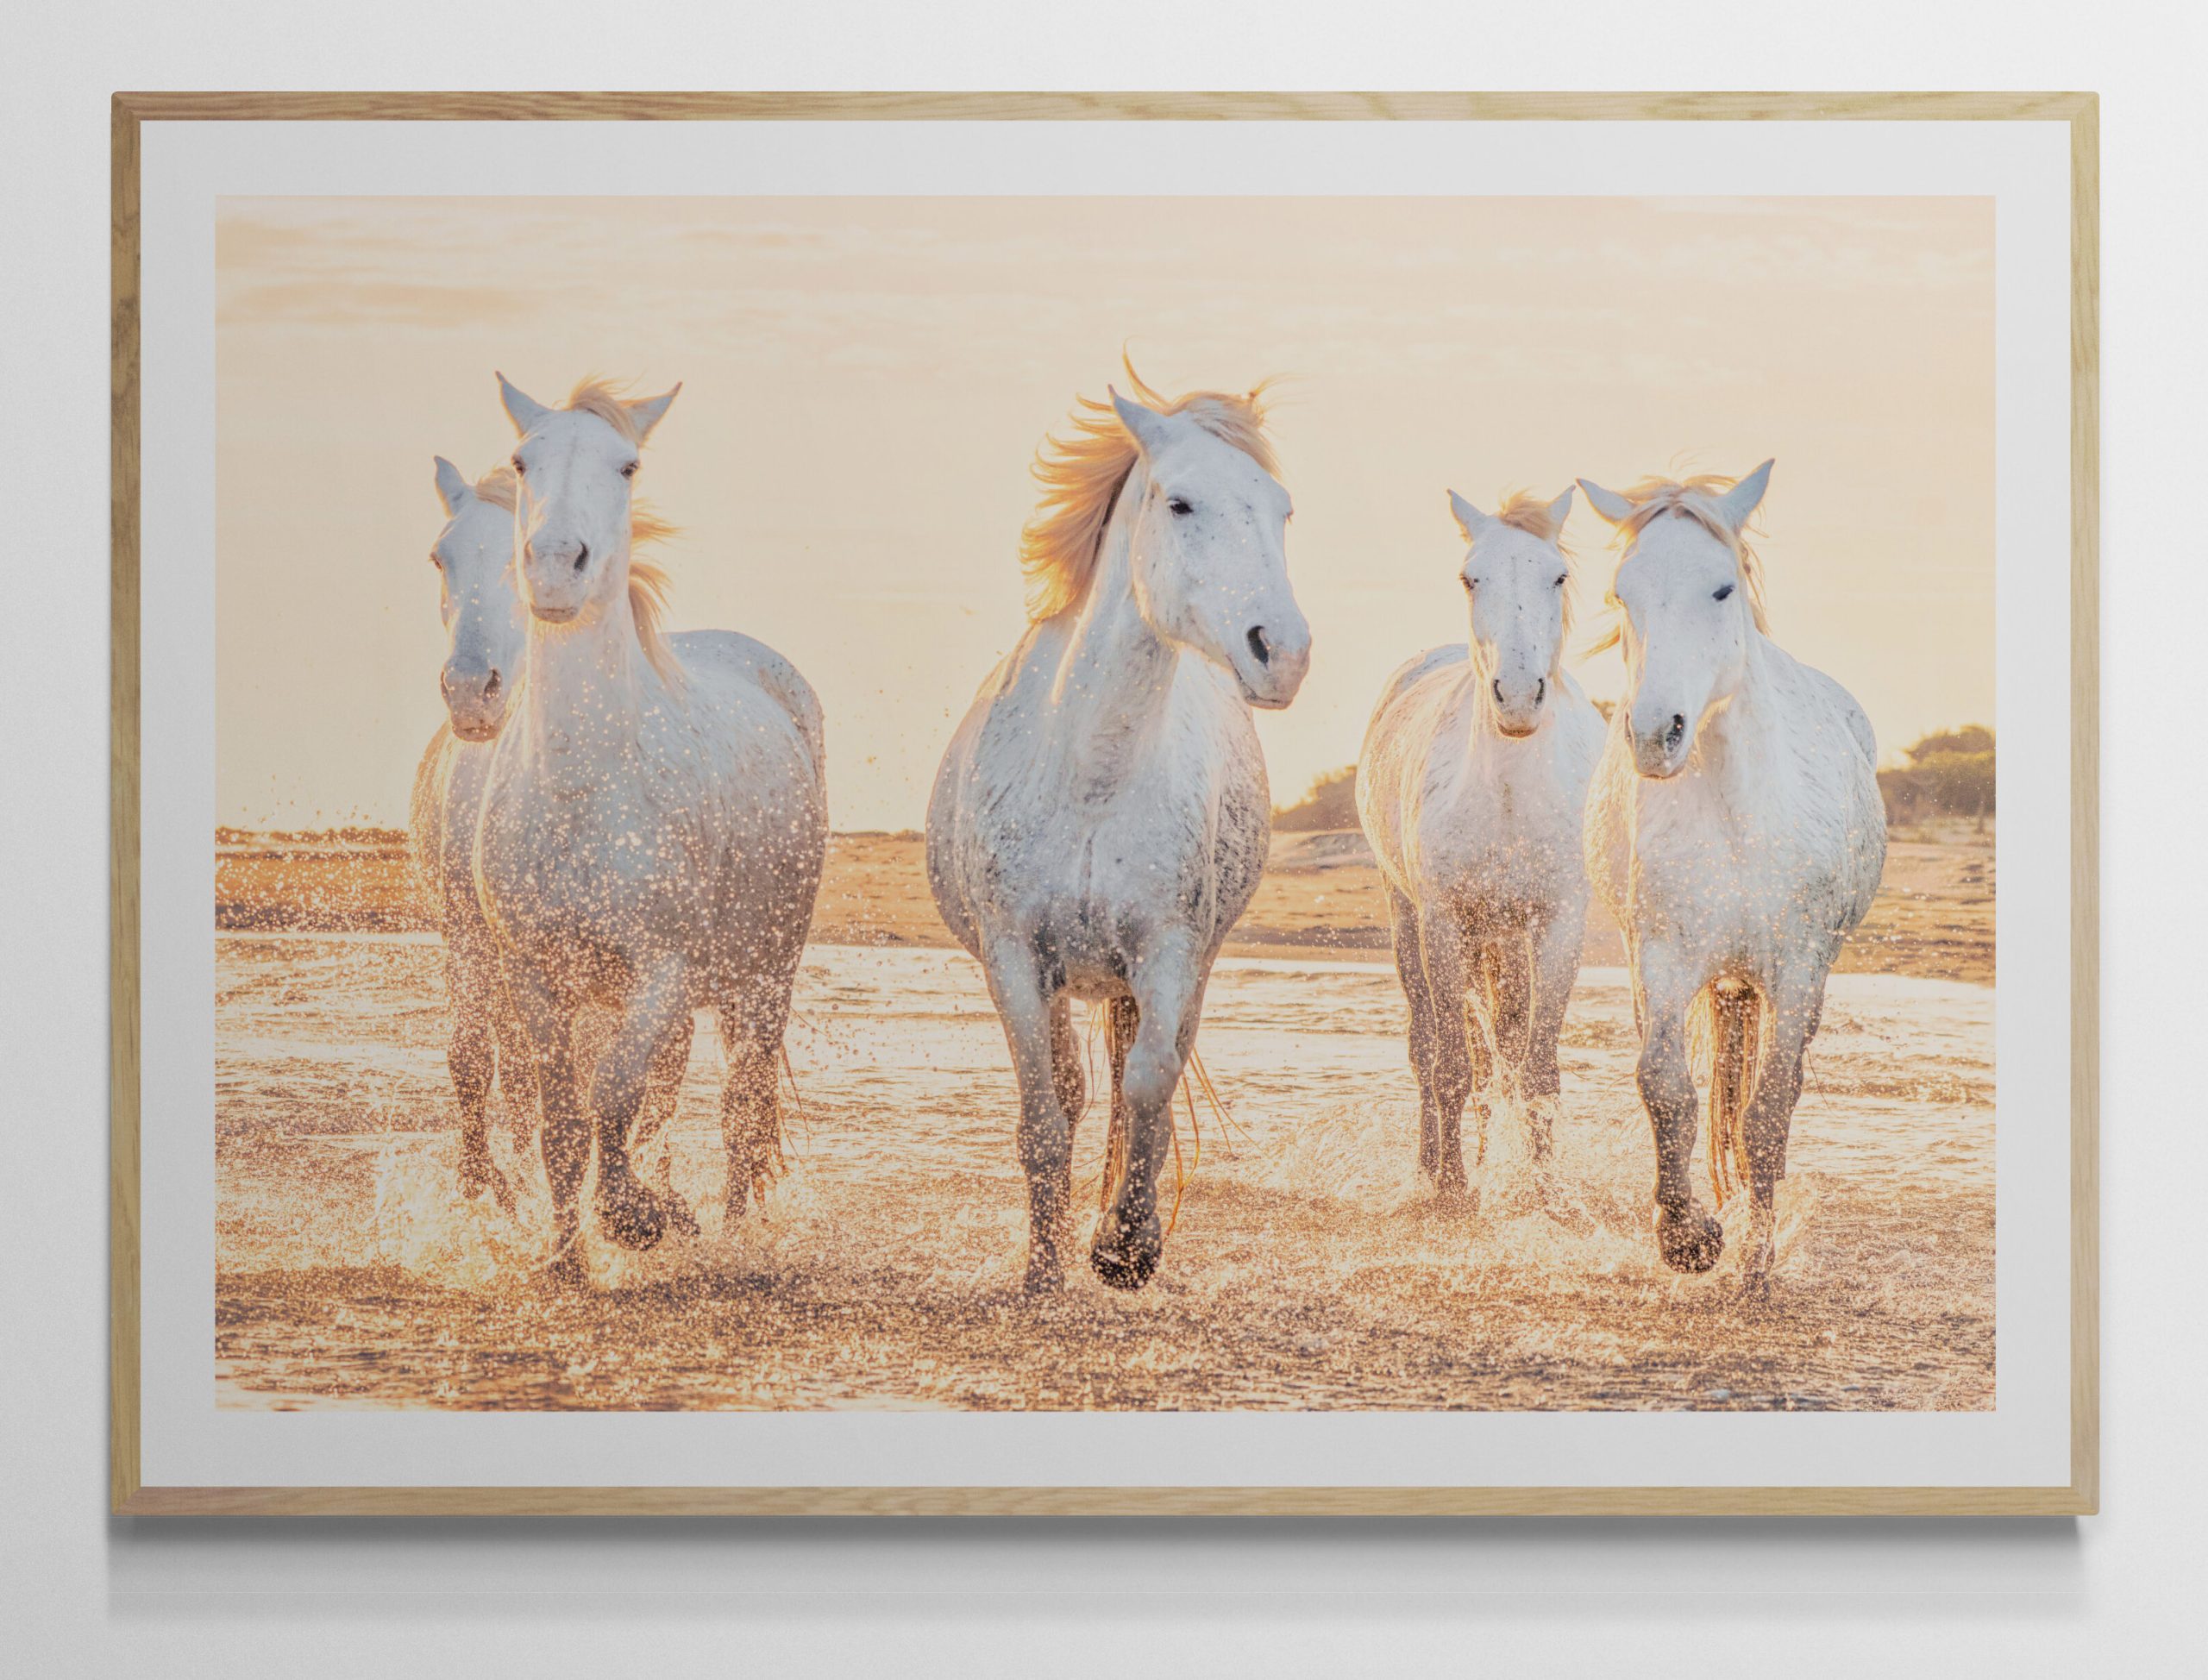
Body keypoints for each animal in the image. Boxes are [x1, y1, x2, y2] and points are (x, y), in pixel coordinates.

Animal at [473, 375, 827, 1271]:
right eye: (521, 461)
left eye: (628, 465)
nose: (554, 568)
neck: (581, 786)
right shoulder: (536, 979)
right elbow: (564, 1122)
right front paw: (567, 1256)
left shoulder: (661, 974)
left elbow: (613, 1096)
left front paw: (634, 1217)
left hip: (762, 979)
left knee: (742, 1111)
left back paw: (732, 1235)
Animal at [926, 366, 1311, 1292]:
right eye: (1179, 502)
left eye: (1281, 509)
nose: (1281, 653)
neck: (1091, 773)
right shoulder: (1014, 960)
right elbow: (1044, 1113)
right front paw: (1044, 1270)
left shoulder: (1168, 954)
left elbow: (1146, 1090)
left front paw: (1125, 1248)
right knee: (1071, 1094)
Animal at [1355, 487, 1605, 1206]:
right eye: (1470, 578)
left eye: (1559, 576)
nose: (1518, 697)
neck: (1511, 794)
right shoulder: (1443, 922)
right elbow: (1449, 1064)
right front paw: (1451, 1187)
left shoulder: (1558, 924)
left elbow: (1535, 1068)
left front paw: (1543, 1193)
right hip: (1410, 919)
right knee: (1431, 1047)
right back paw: (1432, 1166)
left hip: (1505, 937)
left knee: (1503, 1048)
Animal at [1576, 461, 1885, 1279]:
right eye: (1622, 593)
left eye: (1721, 589)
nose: (1656, 734)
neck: (1737, 816)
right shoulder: (1660, 957)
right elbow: (1666, 1088)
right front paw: (1688, 1235)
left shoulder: (1798, 967)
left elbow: (1768, 1110)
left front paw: (1753, 1257)